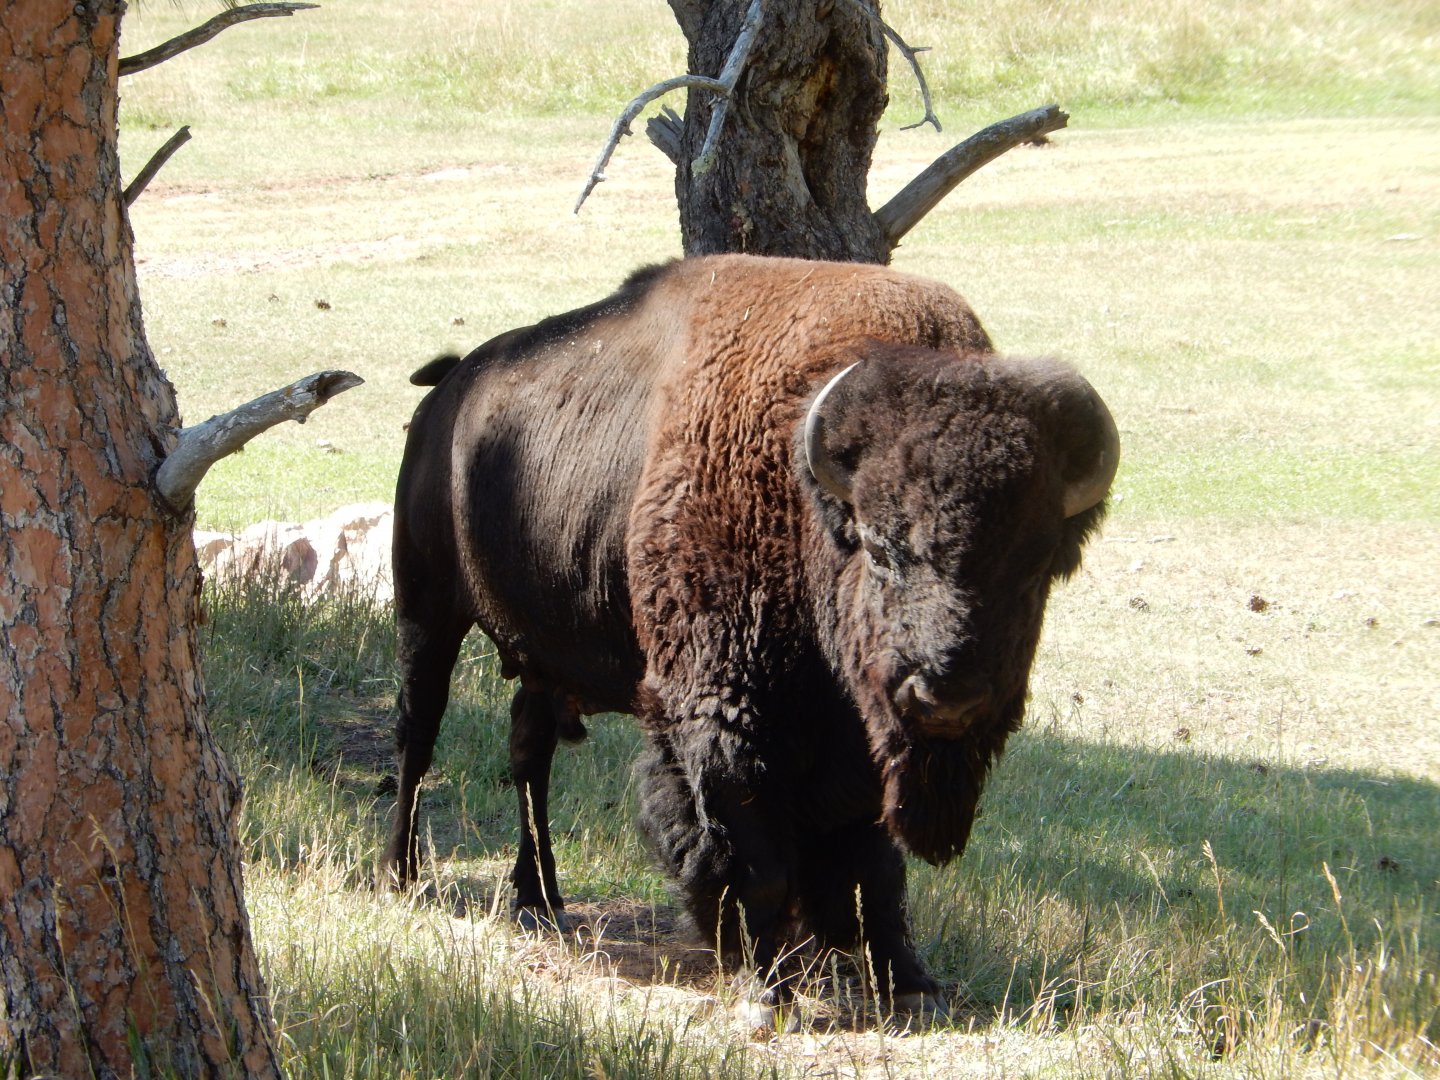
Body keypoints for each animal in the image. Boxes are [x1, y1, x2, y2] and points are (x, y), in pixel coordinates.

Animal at [383, 253, 1118, 1024]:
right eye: (881, 546)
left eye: (1036, 568)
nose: (946, 695)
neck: (804, 499)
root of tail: (449, 391)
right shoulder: (723, 715)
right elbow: (752, 853)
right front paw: (766, 985)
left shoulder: (857, 742)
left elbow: (874, 868)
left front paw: (908, 978)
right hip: (427, 608)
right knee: (418, 733)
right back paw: (400, 873)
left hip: (543, 659)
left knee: (529, 752)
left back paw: (540, 897)